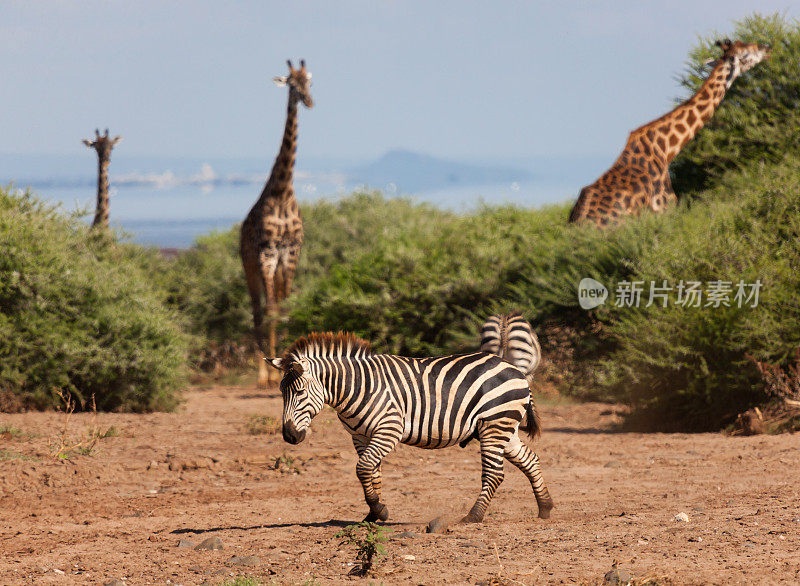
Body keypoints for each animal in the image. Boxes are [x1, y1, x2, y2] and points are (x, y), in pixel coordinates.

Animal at [272, 330, 552, 524]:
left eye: (299, 392)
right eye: (282, 393)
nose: (289, 436)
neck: (357, 386)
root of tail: (515, 369)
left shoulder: (389, 428)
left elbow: (363, 468)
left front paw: (379, 510)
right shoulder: (360, 436)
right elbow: (372, 472)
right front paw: (374, 514)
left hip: (494, 424)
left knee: (494, 473)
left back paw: (473, 517)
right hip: (505, 427)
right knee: (530, 460)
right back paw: (545, 508)